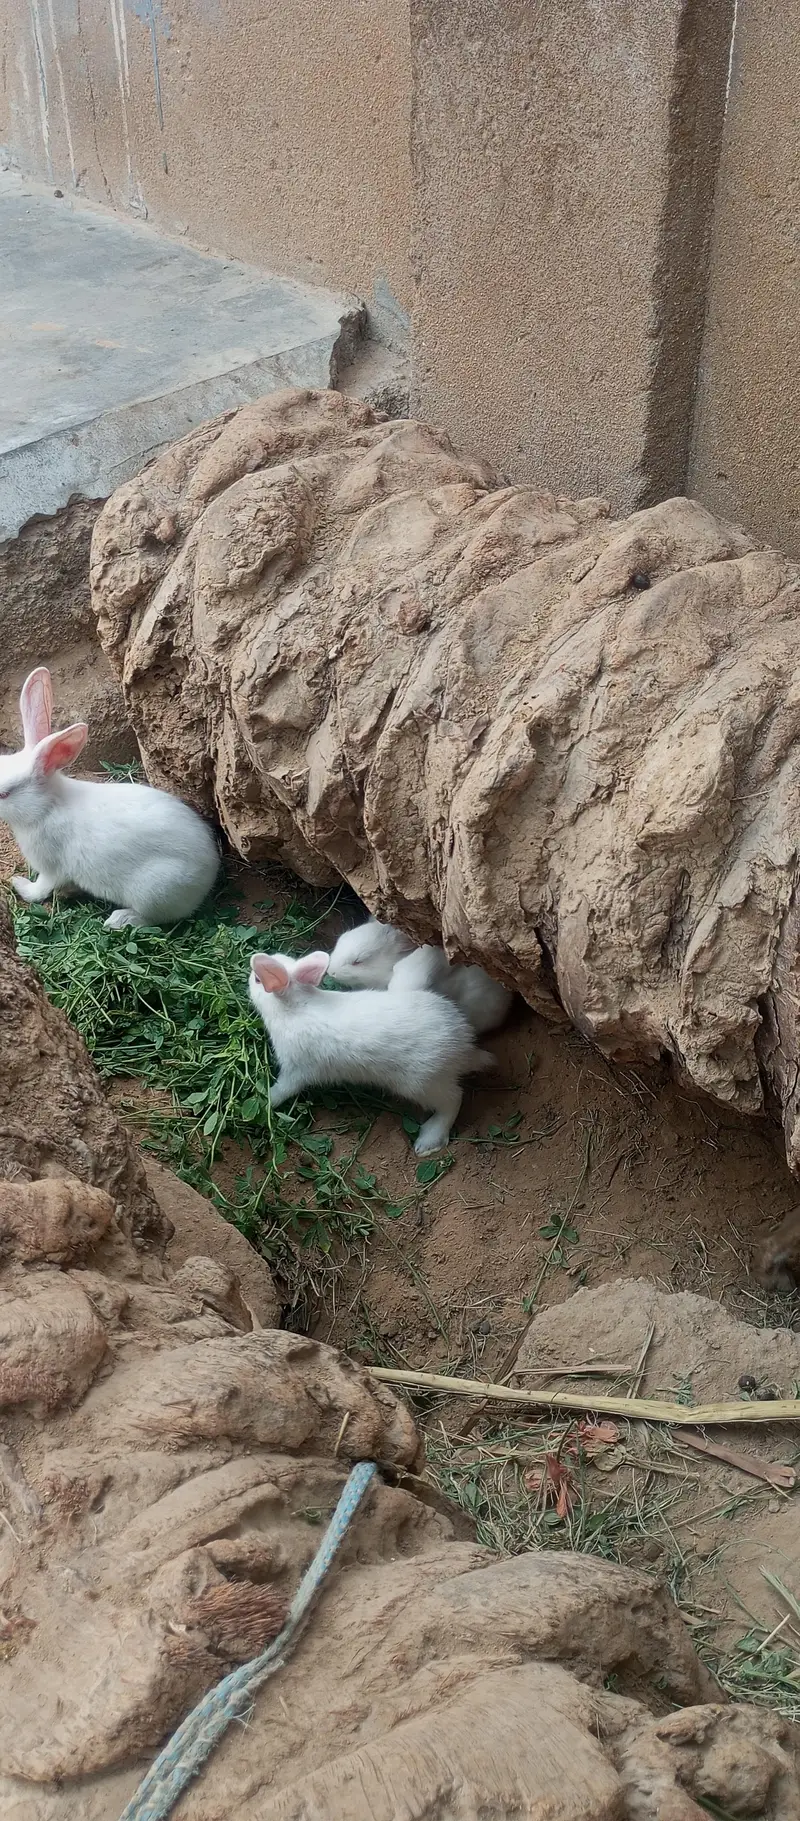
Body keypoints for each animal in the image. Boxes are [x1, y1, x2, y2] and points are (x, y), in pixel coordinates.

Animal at [0, 666, 220, 928]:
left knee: (153, 919)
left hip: (153, 891)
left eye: (4, 794)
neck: (45, 807)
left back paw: (119, 919)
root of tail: (209, 874)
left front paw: (18, 884)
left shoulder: (50, 868)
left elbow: (40, 889)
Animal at [248, 949, 493, 1154]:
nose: (249, 975)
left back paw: (428, 1142)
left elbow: (283, 1089)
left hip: (422, 1084)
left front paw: (265, 1100)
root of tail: (464, 1045)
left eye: (258, 979)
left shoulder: (296, 1071)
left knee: (454, 1099)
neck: (295, 1007)